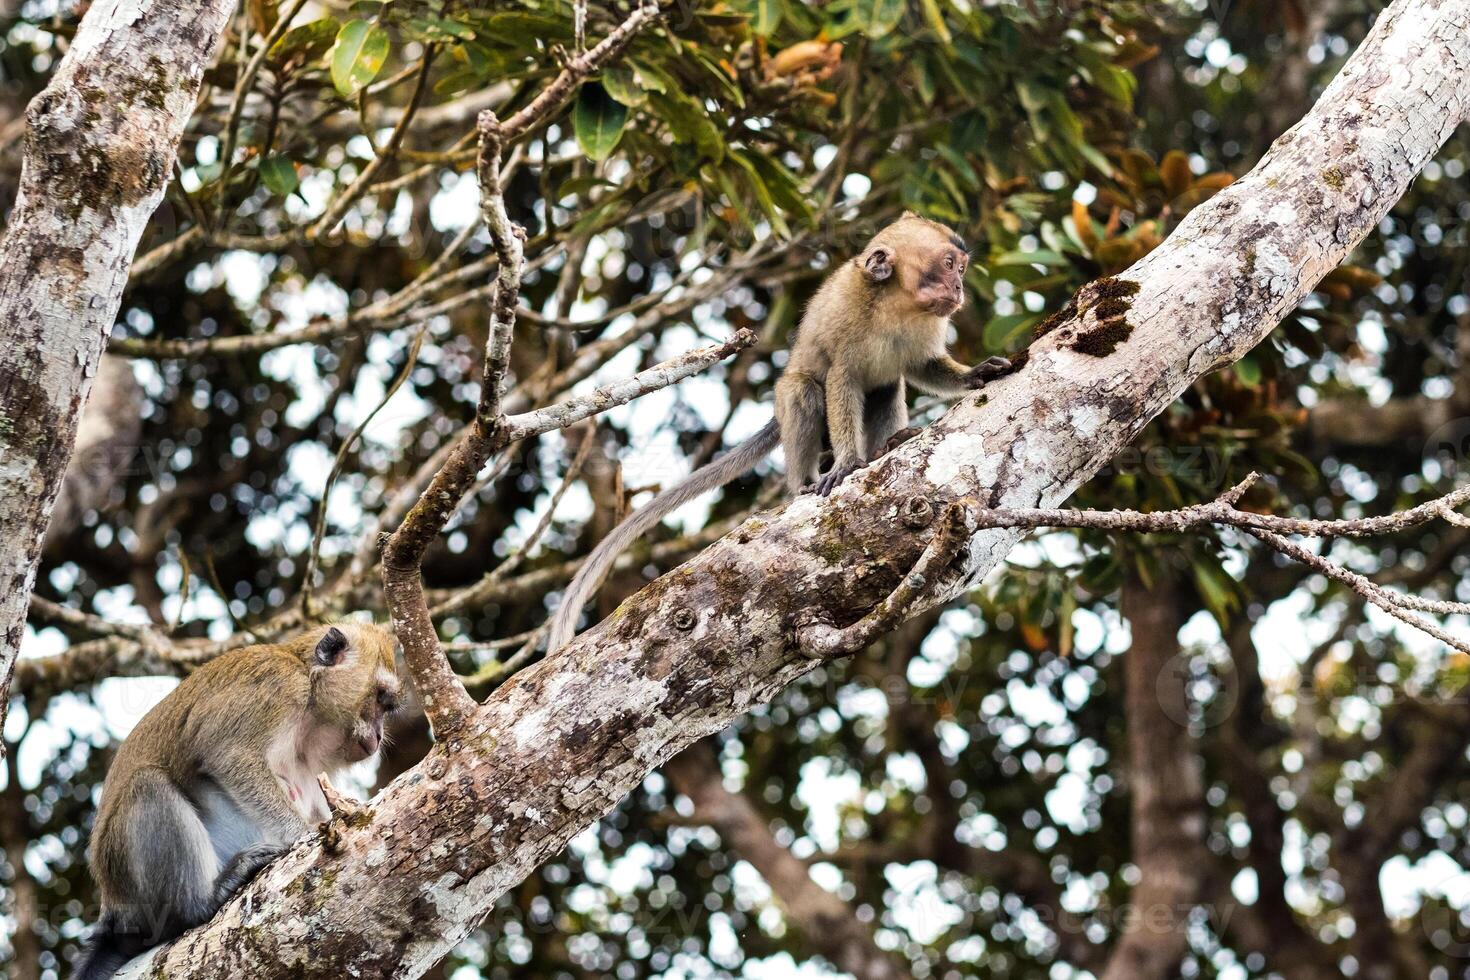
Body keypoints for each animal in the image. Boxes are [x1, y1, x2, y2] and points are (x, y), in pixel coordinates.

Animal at [72, 625, 399, 975]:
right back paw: (201, 902)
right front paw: (302, 836)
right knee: (148, 785)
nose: (379, 735)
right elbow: (228, 753)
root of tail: (112, 906)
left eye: (387, 708)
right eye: (380, 698)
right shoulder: (277, 685)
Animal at [546, 213, 1017, 652]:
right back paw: (805, 482)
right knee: (804, 390)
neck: (897, 303)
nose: (959, 288)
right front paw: (847, 463)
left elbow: (921, 367)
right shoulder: (850, 317)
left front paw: (975, 374)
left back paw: (889, 444)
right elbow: (842, 380)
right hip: (792, 406)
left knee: (886, 385)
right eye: (950, 265)